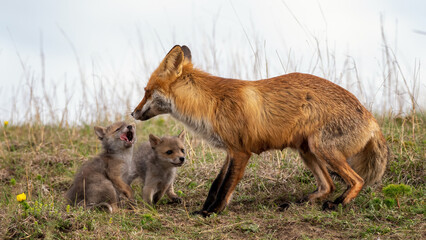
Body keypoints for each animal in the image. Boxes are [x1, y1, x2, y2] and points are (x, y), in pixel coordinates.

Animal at [131, 44, 388, 216]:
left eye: (146, 91)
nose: (133, 113)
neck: (210, 104)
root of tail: (372, 120)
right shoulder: (230, 151)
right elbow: (215, 185)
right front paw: (205, 209)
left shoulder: (241, 152)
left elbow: (225, 187)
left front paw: (212, 212)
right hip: (306, 151)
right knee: (328, 185)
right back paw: (298, 203)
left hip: (321, 148)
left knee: (356, 181)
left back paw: (337, 204)